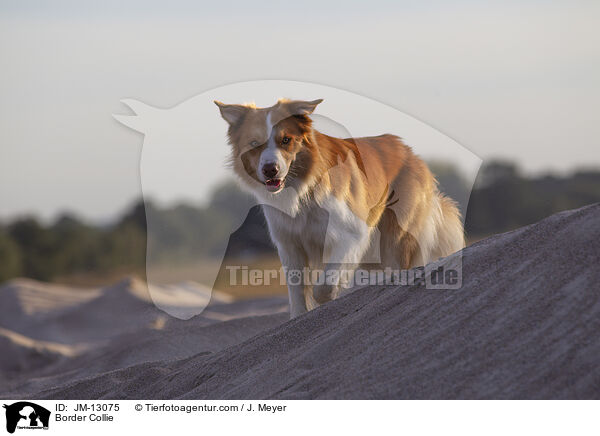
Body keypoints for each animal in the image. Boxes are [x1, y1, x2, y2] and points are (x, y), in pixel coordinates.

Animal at [216, 99, 464, 316]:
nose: (270, 169)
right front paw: (299, 316)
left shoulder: (350, 233)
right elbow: (297, 291)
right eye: (254, 144)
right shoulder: (289, 243)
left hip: (396, 237)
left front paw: (330, 298)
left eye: (286, 140)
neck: (301, 191)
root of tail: (408, 151)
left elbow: (324, 285)